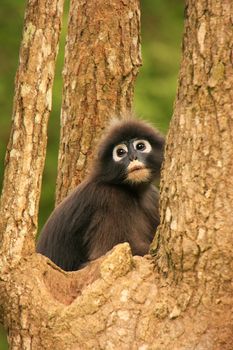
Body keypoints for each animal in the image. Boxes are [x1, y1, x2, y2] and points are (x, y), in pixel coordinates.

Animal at [36, 117, 164, 270]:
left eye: (140, 146)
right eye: (120, 152)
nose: (133, 157)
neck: (134, 192)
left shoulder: (152, 197)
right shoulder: (111, 199)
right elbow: (105, 255)